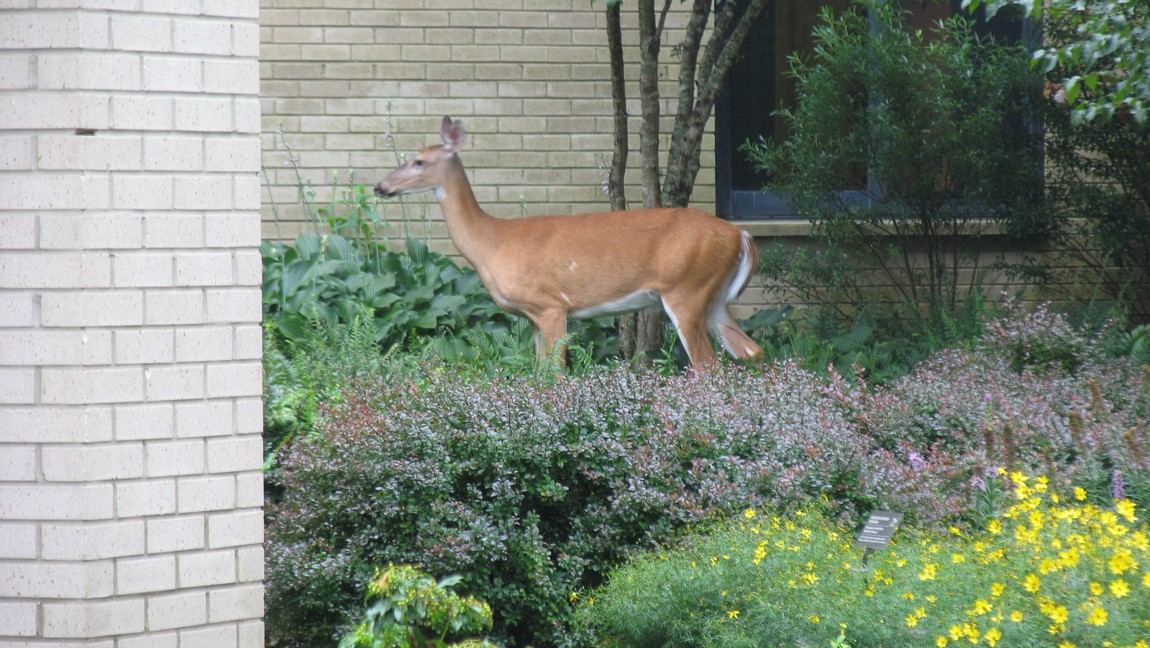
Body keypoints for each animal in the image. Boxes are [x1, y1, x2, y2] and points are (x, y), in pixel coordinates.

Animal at [374, 116, 763, 370]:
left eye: (419, 161)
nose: (380, 186)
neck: (493, 243)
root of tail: (741, 236)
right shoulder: (531, 316)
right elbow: (537, 374)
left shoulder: (550, 306)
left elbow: (555, 375)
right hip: (713, 298)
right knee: (750, 351)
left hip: (687, 288)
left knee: (707, 366)